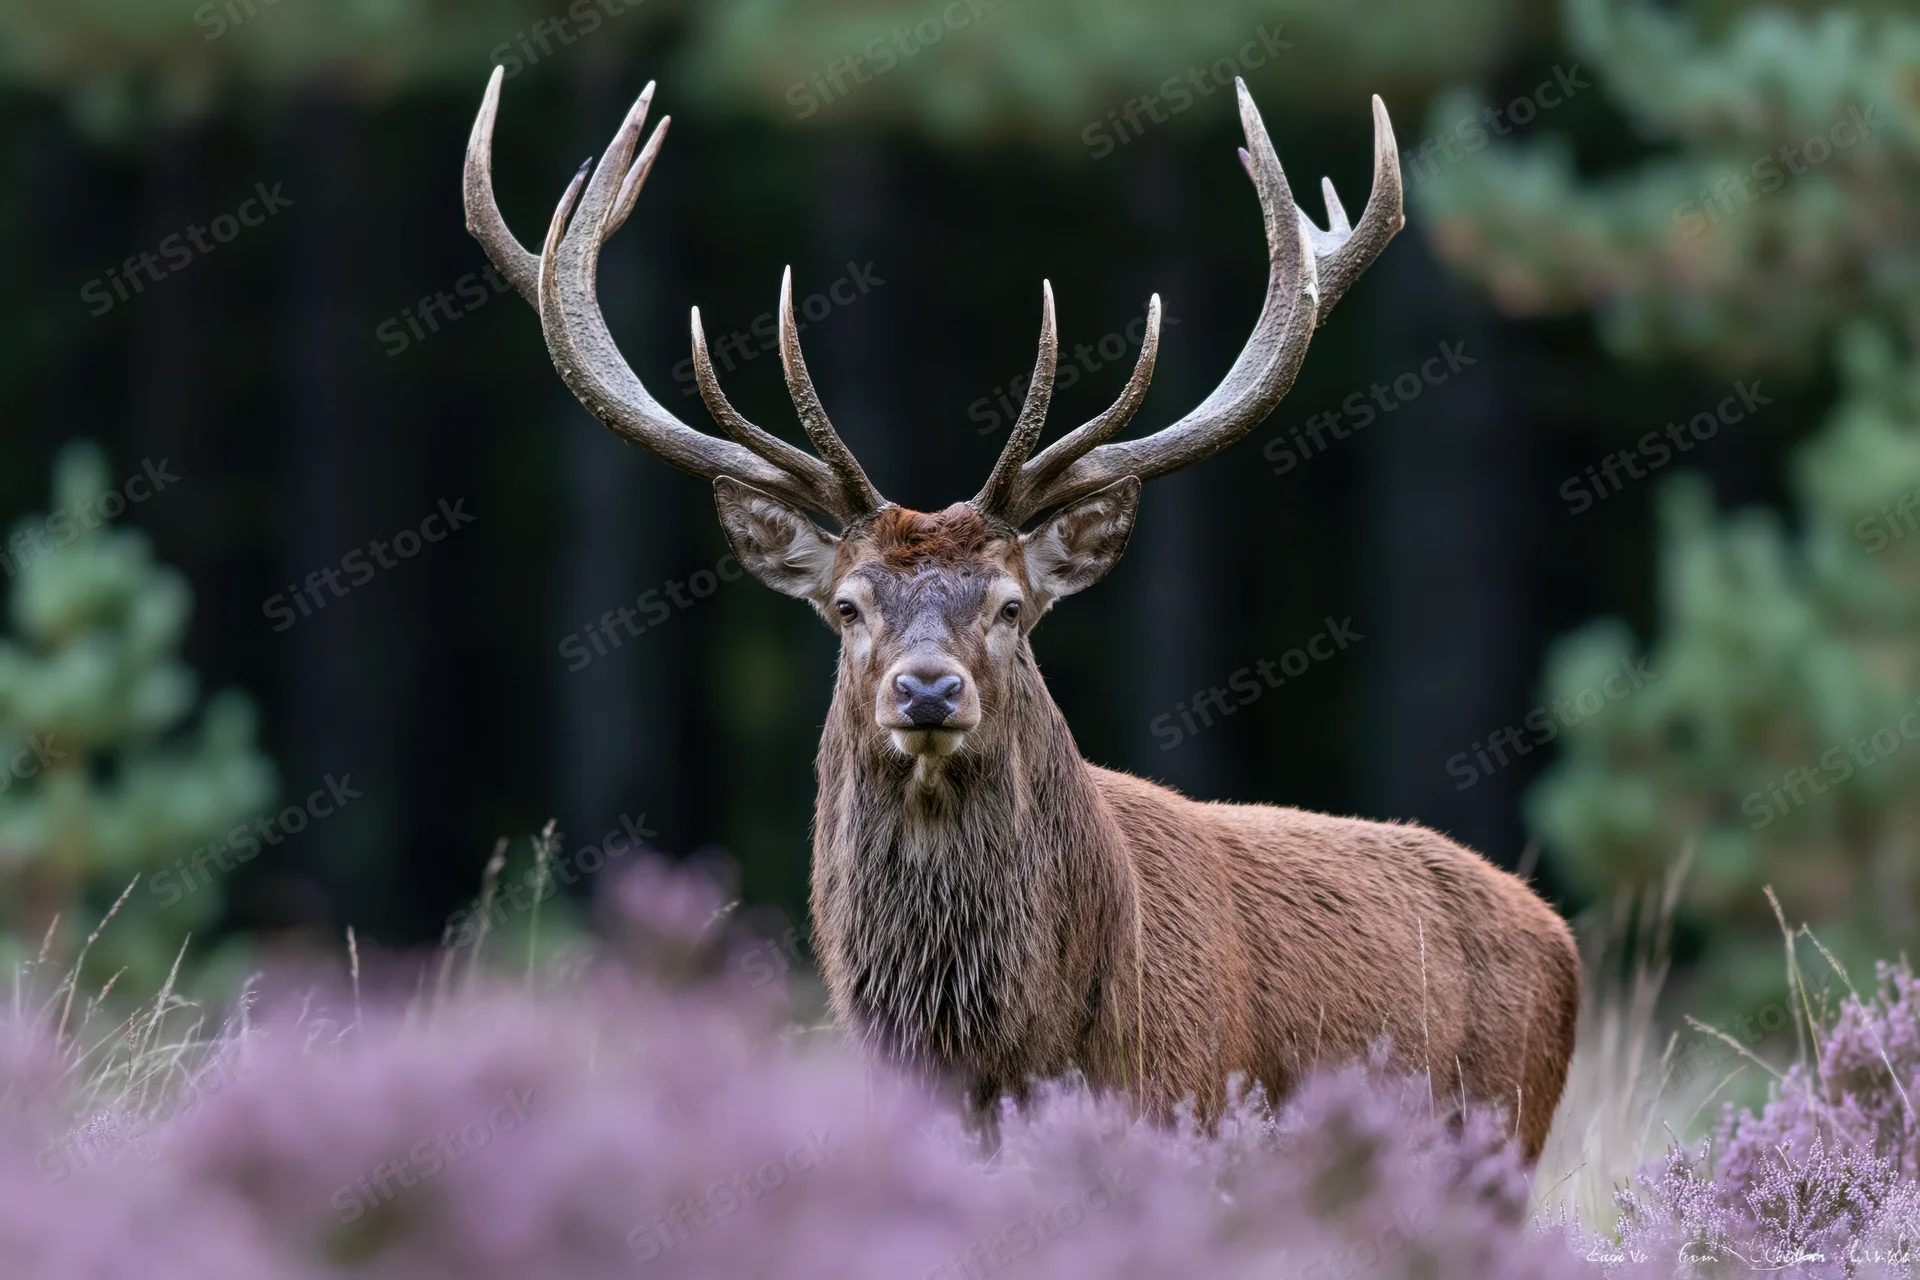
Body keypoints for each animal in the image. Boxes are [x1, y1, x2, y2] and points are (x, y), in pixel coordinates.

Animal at [464, 65, 1579, 1160]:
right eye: (847, 604)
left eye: (1011, 605)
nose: (926, 688)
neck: (994, 1050)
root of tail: (1558, 936)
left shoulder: (1182, 1102)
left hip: (1503, 1135)